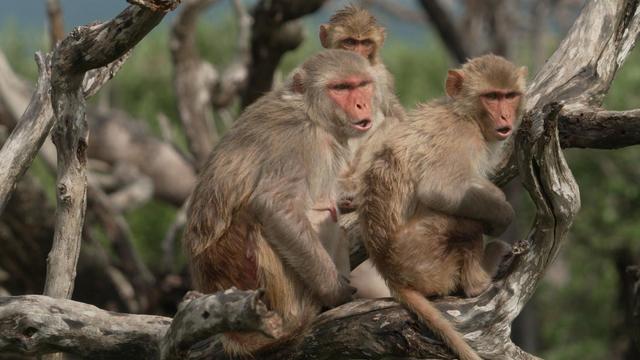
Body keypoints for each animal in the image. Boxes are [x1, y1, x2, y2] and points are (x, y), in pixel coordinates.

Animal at [182, 49, 382, 356]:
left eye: (361, 84)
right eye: (340, 88)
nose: (362, 104)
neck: (311, 112)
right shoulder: (300, 141)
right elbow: (276, 206)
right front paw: (334, 290)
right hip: (240, 271)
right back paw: (293, 318)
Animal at [360, 54, 524, 360]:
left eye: (509, 96)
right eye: (491, 97)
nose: (505, 117)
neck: (465, 114)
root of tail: (389, 272)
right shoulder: (461, 137)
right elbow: (440, 188)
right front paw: (503, 213)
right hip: (421, 257)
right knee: (467, 222)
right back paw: (478, 281)